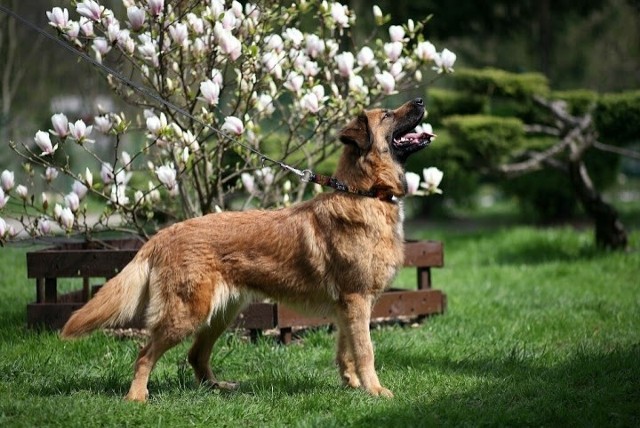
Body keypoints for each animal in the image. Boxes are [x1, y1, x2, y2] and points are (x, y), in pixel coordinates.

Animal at [61, 97, 430, 402]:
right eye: (387, 114)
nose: (420, 101)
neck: (365, 193)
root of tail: (163, 234)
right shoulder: (356, 300)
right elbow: (365, 351)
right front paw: (375, 391)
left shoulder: (348, 308)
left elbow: (347, 351)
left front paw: (352, 386)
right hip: (187, 315)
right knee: (145, 353)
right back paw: (137, 397)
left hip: (221, 314)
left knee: (195, 355)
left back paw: (218, 388)